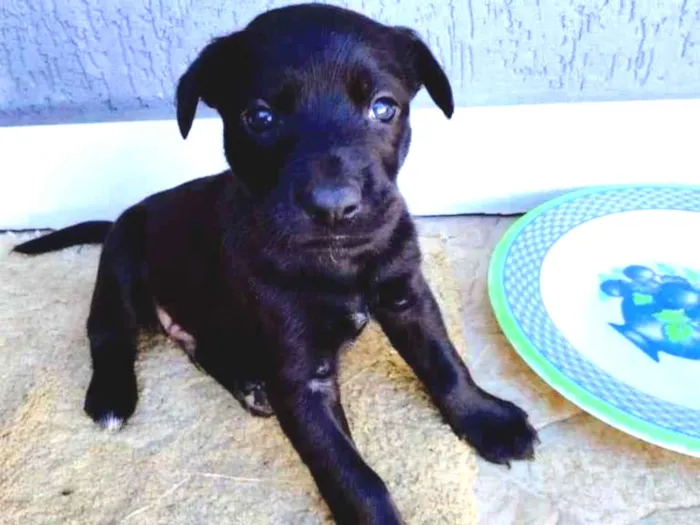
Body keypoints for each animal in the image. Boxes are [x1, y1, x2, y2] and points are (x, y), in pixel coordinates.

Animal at [15, 5, 536, 524]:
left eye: (383, 107)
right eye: (260, 117)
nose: (333, 207)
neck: (336, 259)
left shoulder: (407, 295)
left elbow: (444, 361)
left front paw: (487, 418)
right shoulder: (300, 373)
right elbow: (349, 469)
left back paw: (248, 384)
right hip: (121, 267)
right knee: (108, 335)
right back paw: (111, 398)